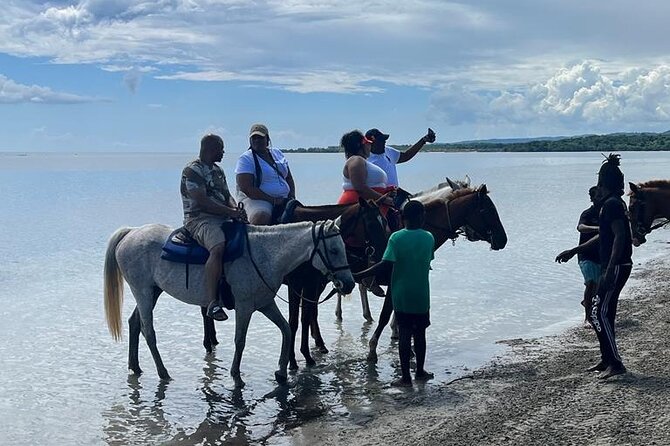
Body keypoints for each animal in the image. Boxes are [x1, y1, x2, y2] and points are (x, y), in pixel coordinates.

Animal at [103, 220, 356, 386]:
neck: (264, 255)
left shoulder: (265, 304)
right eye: (334, 250)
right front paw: (236, 375)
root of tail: (131, 233)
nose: (349, 284)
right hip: (143, 292)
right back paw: (163, 373)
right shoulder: (244, 307)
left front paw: (282, 372)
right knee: (149, 331)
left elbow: (285, 329)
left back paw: (135, 366)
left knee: (134, 323)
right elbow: (240, 340)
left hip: (152, 292)